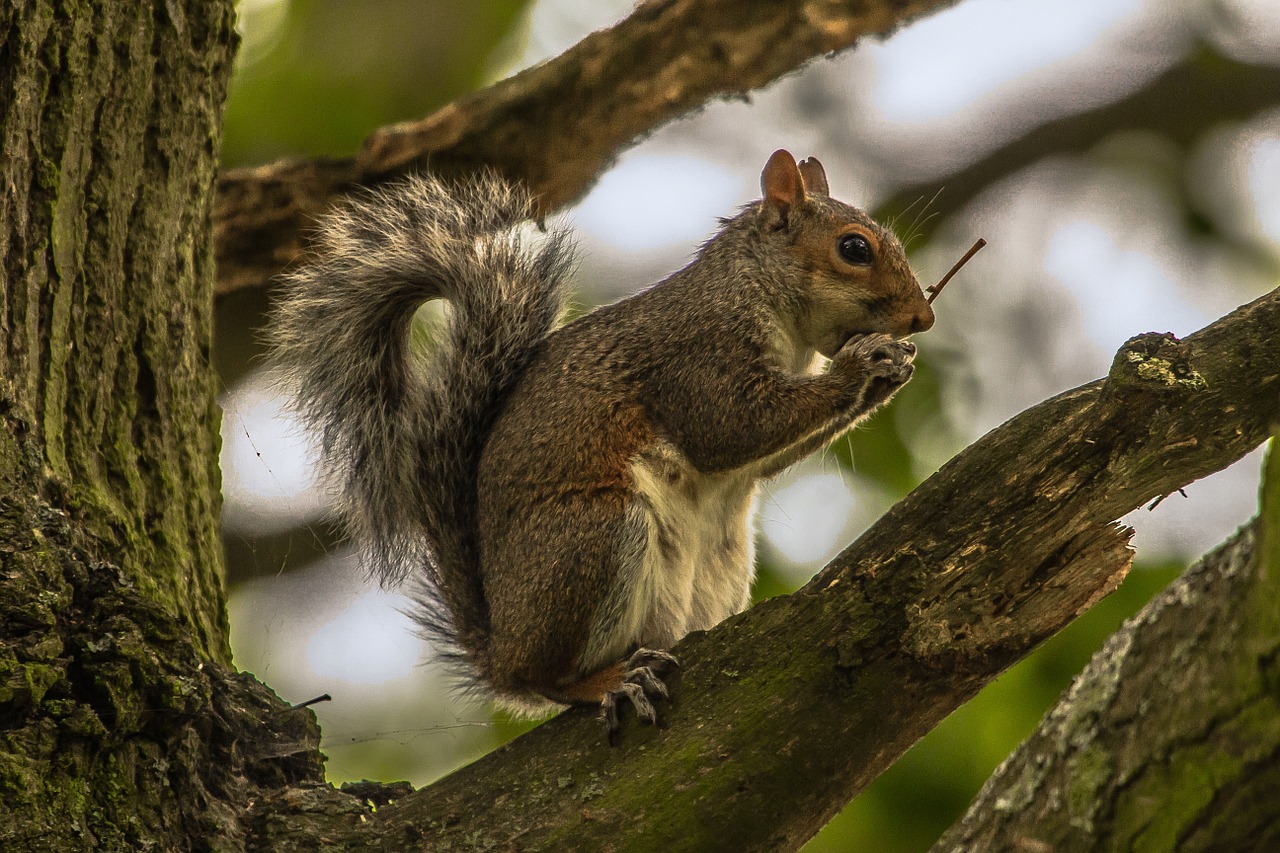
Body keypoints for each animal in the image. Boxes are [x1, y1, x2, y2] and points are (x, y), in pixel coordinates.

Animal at [270, 149, 931, 727]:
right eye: (854, 248)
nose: (921, 318)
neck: (765, 298)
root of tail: (501, 649)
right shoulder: (698, 354)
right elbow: (730, 427)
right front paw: (862, 365)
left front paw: (891, 370)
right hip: (594, 536)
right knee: (549, 680)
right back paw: (608, 680)